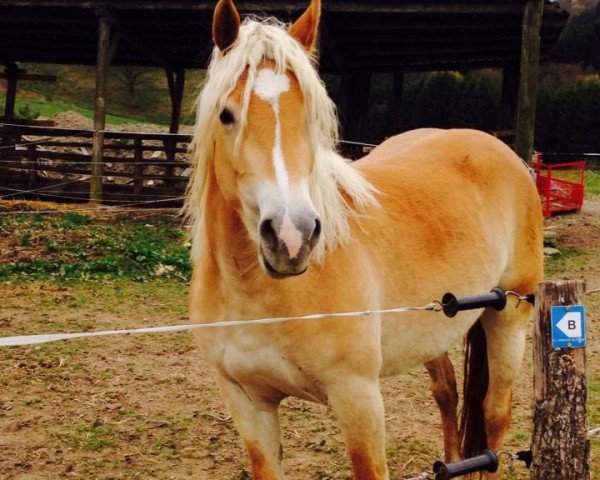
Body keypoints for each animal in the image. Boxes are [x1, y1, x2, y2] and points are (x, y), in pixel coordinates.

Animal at [186, 1, 544, 478]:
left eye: (310, 117)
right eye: (227, 115)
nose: (292, 237)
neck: (258, 294)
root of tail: (503, 152)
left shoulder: (358, 400)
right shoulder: (248, 403)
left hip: (509, 319)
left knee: (494, 417)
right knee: (448, 392)